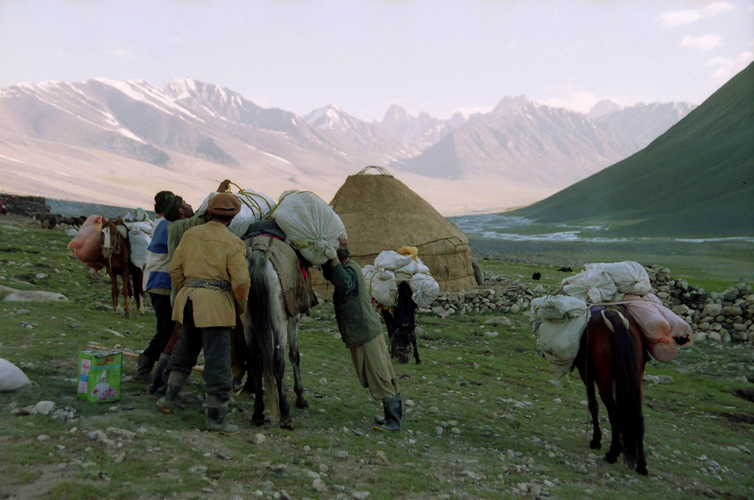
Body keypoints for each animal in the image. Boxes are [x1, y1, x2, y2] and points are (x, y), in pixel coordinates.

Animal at [572, 306, 644, 474]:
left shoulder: (586, 372)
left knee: (615, 414)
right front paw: (623, 445)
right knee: (638, 416)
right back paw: (641, 465)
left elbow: (593, 405)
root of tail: (616, 320)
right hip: (635, 381)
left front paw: (596, 440)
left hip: (604, 381)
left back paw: (612, 454)